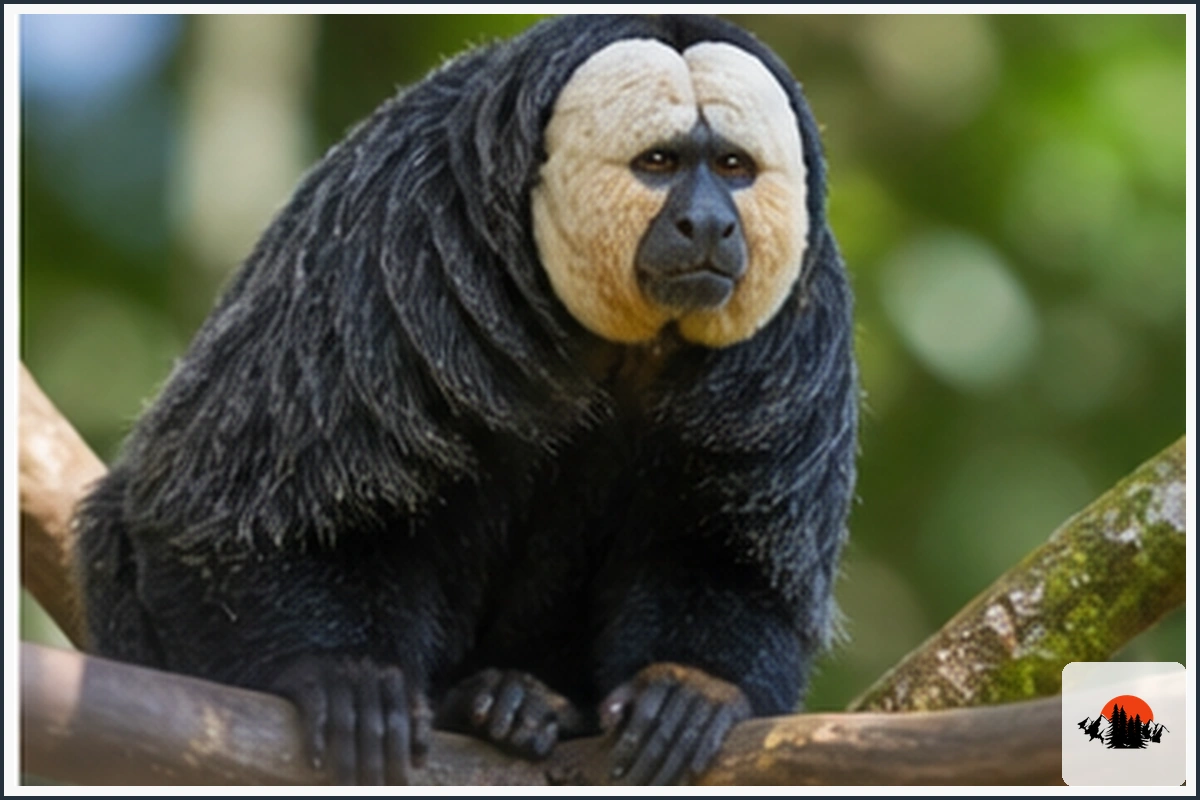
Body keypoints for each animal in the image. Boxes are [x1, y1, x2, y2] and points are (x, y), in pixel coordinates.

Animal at [75, 14, 857, 785]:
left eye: (732, 168)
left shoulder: (804, 329)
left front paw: (689, 690)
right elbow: (231, 511)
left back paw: (522, 705)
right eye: (660, 163)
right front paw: (342, 676)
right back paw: (483, 706)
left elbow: (732, 552)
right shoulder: (387, 239)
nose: (710, 224)